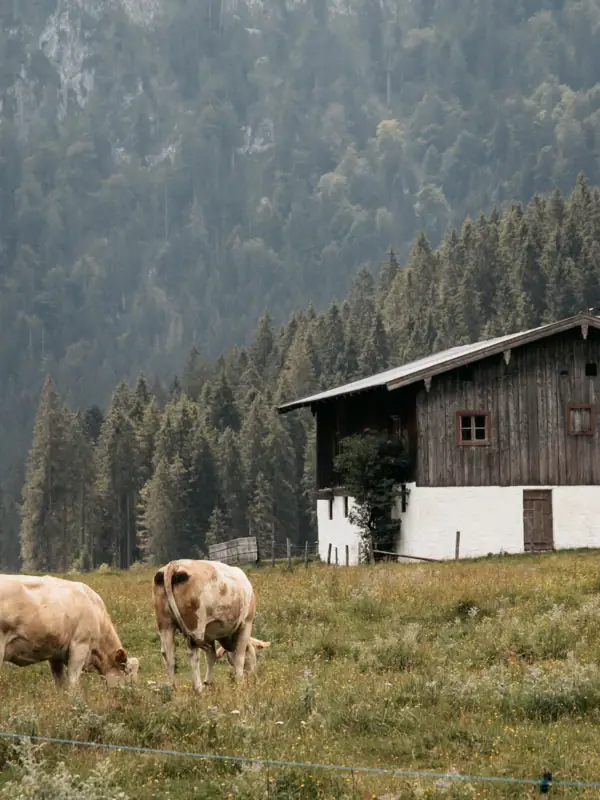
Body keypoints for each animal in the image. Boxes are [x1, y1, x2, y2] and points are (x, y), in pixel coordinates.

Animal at [0, 574, 139, 690]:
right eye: (127, 673)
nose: (133, 696)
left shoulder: (55, 654)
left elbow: (60, 683)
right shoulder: (80, 645)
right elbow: (73, 682)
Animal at [152, 558, 269, 692]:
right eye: (250, 650)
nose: (252, 674)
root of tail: (174, 564)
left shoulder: (209, 634)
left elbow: (211, 657)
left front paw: (208, 682)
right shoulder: (246, 624)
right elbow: (239, 657)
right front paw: (240, 682)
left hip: (165, 624)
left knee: (168, 654)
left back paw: (173, 688)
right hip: (195, 626)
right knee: (193, 655)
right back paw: (198, 688)